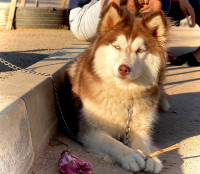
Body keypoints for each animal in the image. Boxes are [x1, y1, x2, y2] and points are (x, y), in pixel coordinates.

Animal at [66, 3, 170, 174]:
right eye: (116, 46)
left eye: (140, 50)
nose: (124, 69)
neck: (123, 93)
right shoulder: (90, 131)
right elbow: (112, 143)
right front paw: (130, 155)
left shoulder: (140, 127)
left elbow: (143, 143)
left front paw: (151, 157)